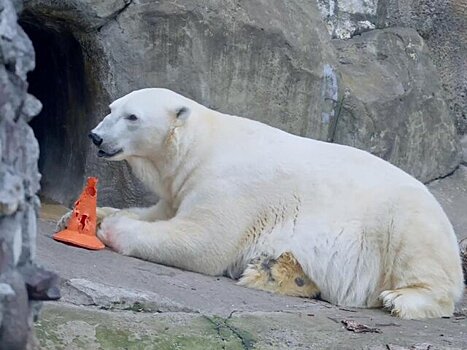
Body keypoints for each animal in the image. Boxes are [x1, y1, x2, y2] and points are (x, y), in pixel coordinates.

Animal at [69, 88, 464, 320]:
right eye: (111, 108)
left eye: (132, 116)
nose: (96, 136)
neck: (202, 145)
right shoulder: (182, 186)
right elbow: (162, 211)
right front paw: (92, 214)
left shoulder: (229, 185)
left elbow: (202, 241)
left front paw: (112, 228)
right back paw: (275, 271)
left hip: (404, 217)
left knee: (420, 258)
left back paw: (400, 300)